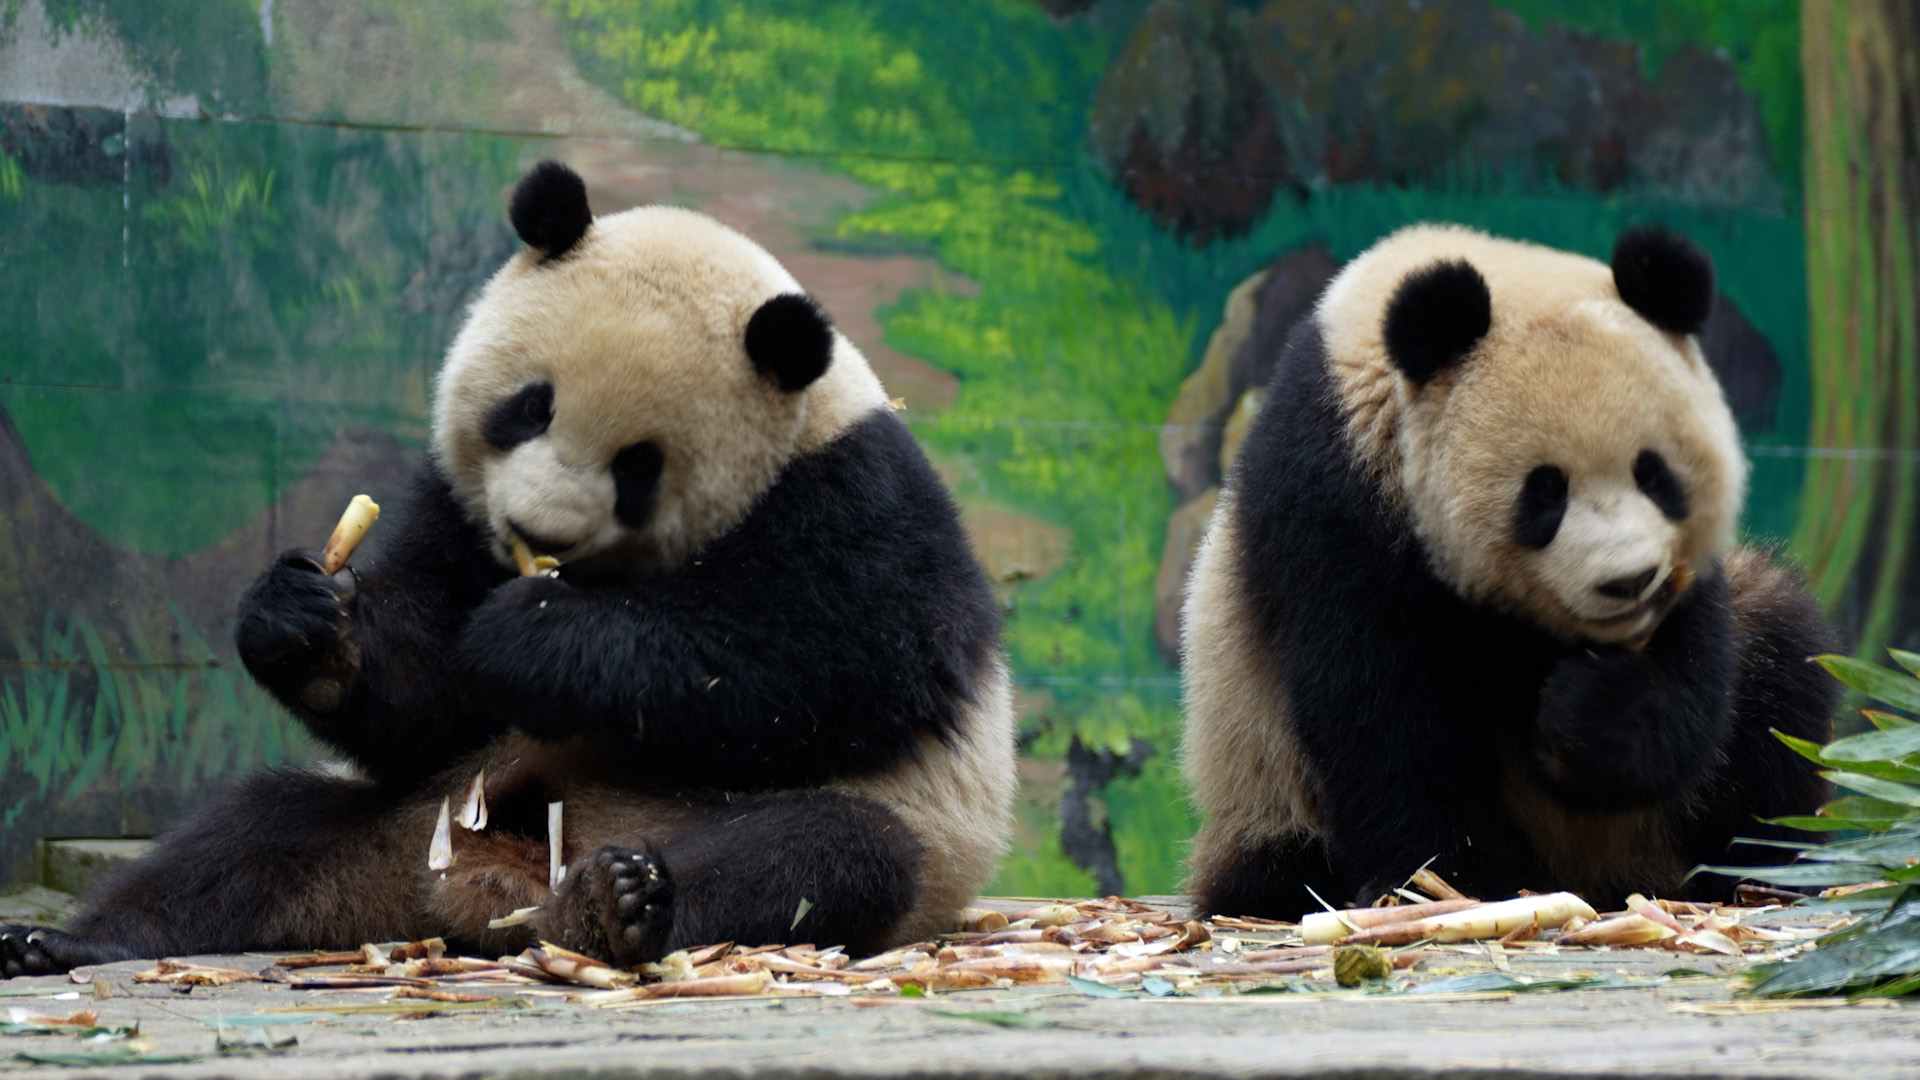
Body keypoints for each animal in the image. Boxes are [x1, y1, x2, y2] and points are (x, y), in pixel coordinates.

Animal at [0, 161, 1015, 977]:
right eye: (531, 406)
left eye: (639, 466)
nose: (531, 528)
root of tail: (494, 895)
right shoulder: (455, 508)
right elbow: (423, 696)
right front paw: (307, 624)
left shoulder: (860, 502)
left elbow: (820, 666)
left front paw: (537, 637)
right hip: (422, 820)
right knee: (255, 835)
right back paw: (68, 939)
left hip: (866, 829)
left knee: (819, 855)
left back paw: (619, 906)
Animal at [1180, 224, 1839, 917]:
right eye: (1545, 491)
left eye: (1654, 474)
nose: (1629, 582)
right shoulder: (1336, 499)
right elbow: (1383, 704)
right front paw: (1442, 875)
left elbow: (1691, 693)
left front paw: (1592, 710)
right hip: (1261, 775)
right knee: (1277, 859)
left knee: (1779, 665)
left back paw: (1764, 868)